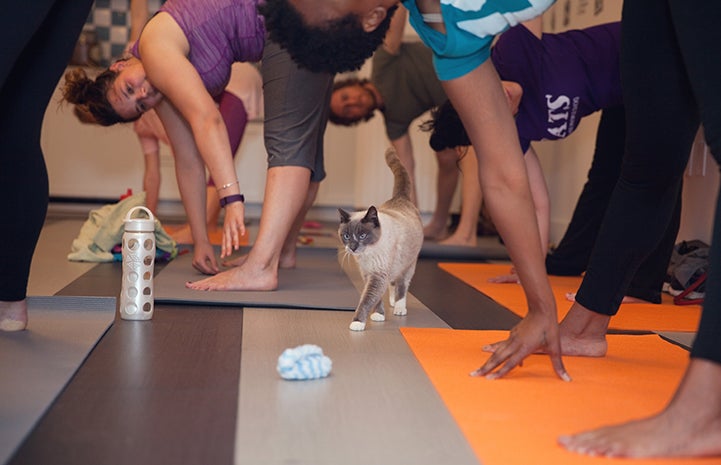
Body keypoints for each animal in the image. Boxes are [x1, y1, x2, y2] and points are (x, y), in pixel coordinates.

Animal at [336, 147, 422, 328]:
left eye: (362, 235)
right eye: (346, 236)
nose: (353, 247)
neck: (367, 255)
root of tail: (401, 197)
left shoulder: (378, 275)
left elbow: (367, 299)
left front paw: (357, 323)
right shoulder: (367, 274)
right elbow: (375, 298)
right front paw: (378, 314)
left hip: (408, 263)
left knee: (402, 285)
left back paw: (399, 308)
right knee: (393, 283)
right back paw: (392, 301)